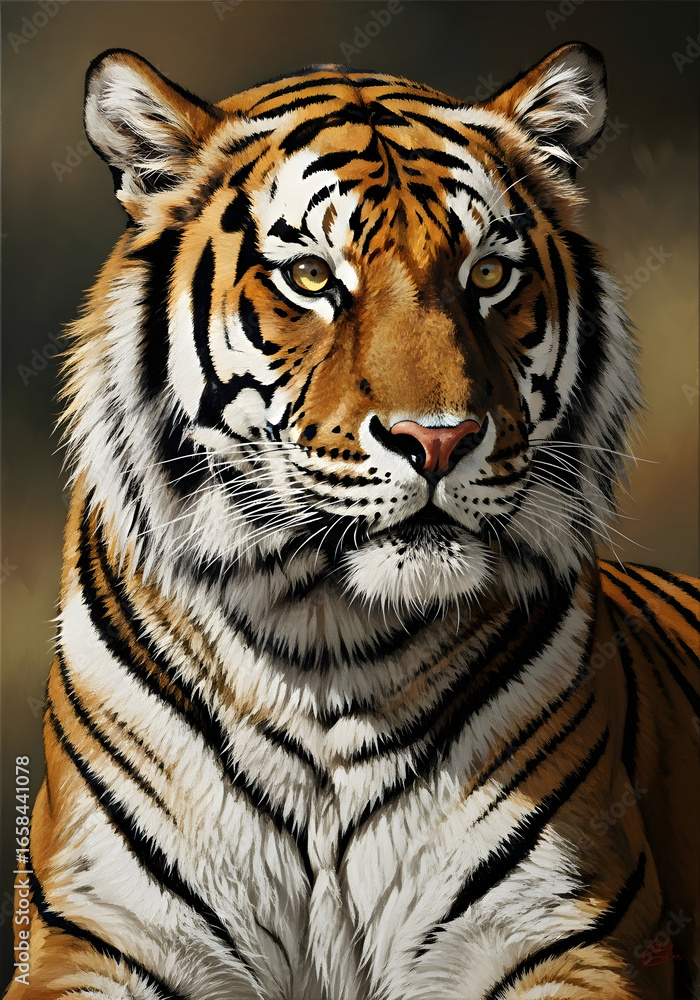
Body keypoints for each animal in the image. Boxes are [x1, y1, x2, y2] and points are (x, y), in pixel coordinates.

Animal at [5, 39, 699, 1000]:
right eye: (310, 278)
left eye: (489, 275)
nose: (439, 440)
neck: (328, 639)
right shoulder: (100, 932)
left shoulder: (566, 932)